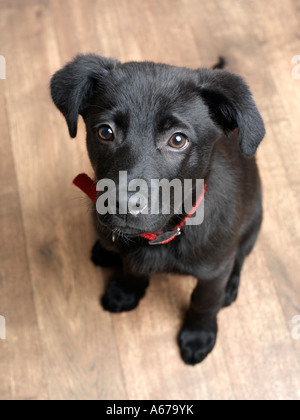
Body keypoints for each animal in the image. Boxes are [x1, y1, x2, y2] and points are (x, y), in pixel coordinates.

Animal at [51, 55, 264, 364]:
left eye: (177, 140)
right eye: (105, 132)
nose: (123, 203)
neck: (162, 236)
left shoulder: (214, 269)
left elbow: (204, 301)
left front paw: (199, 334)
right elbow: (131, 268)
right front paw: (127, 290)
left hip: (253, 222)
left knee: (240, 256)